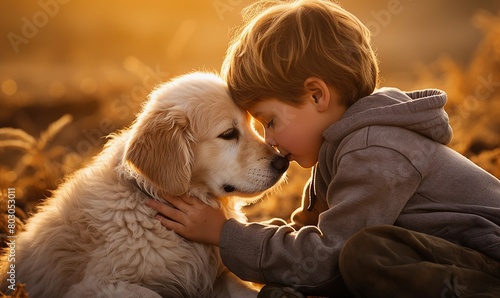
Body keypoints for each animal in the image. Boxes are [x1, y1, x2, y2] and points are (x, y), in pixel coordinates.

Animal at [0, 73, 290, 298]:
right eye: (229, 134)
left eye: (252, 125)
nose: (282, 162)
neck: (153, 202)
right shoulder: (98, 284)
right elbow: (153, 294)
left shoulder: (216, 274)